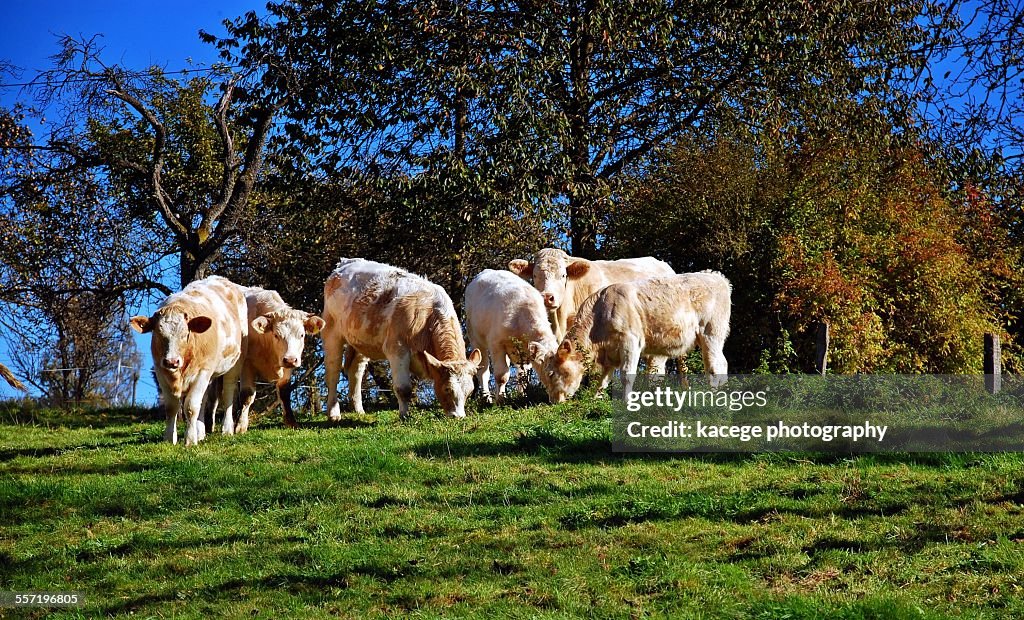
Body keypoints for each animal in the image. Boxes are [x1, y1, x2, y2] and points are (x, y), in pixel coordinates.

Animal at [235, 288, 323, 430]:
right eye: (276, 335)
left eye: (302, 335)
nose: (290, 359)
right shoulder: (246, 364)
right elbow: (247, 395)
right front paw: (240, 426)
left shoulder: (286, 368)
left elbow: (284, 392)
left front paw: (291, 422)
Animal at [321, 256, 481, 420]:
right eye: (447, 388)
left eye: (469, 391)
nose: (459, 417)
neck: (427, 317)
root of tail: (345, 263)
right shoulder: (397, 349)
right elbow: (403, 389)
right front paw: (404, 416)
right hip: (331, 333)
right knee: (333, 372)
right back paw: (334, 413)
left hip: (360, 341)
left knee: (356, 371)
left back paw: (359, 410)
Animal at [464, 268, 561, 403]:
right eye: (550, 374)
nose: (559, 399)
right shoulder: (496, 344)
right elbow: (501, 375)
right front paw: (500, 400)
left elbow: (523, 374)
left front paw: (522, 395)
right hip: (475, 338)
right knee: (483, 372)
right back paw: (486, 398)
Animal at [540, 270, 733, 401]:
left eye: (551, 373)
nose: (553, 400)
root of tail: (716, 277)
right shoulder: (609, 354)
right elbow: (603, 380)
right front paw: (595, 399)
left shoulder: (630, 341)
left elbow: (627, 375)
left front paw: (627, 402)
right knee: (722, 363)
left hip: (711, 333)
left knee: (715, 366)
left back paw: (714, 395)